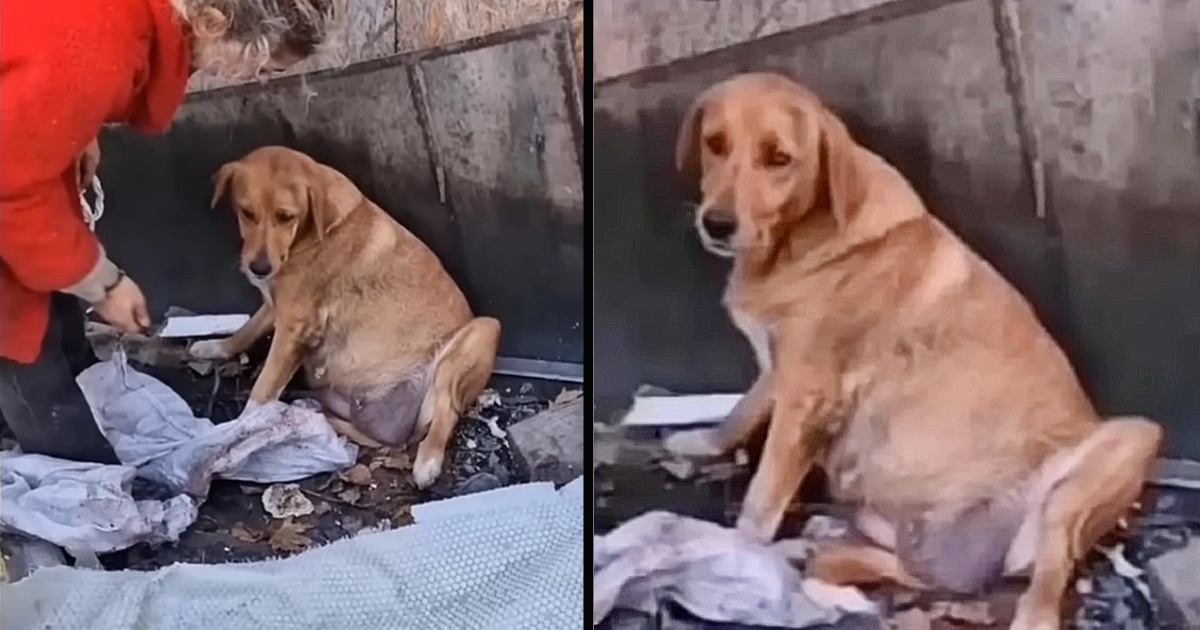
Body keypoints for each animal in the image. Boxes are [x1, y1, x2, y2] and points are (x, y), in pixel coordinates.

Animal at [189, 146, 499, 487]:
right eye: (247, 213)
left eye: (286, 217)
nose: (258, 269)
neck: (311, 230)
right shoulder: (276, 307)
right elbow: (247, 329)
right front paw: (217, 347)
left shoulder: (294, 326)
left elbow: (263, 388)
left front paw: (243, 429)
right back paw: (309, 411)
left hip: (481, 333)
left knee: (447, 413)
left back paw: (427, 462)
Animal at [667, 75, 1161, 628]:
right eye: (714, 143)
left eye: (779, 159)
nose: (717, 223)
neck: (799, 241)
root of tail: (976, 565)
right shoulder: (782, 371)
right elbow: (743, 408)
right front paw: (704, 441)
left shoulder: (807, 392)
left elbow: (762, 494)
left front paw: (740, 552)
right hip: (889, 518)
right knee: (910, 571)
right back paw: (823, 549)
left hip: (1120, 449)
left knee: (1048, 574)